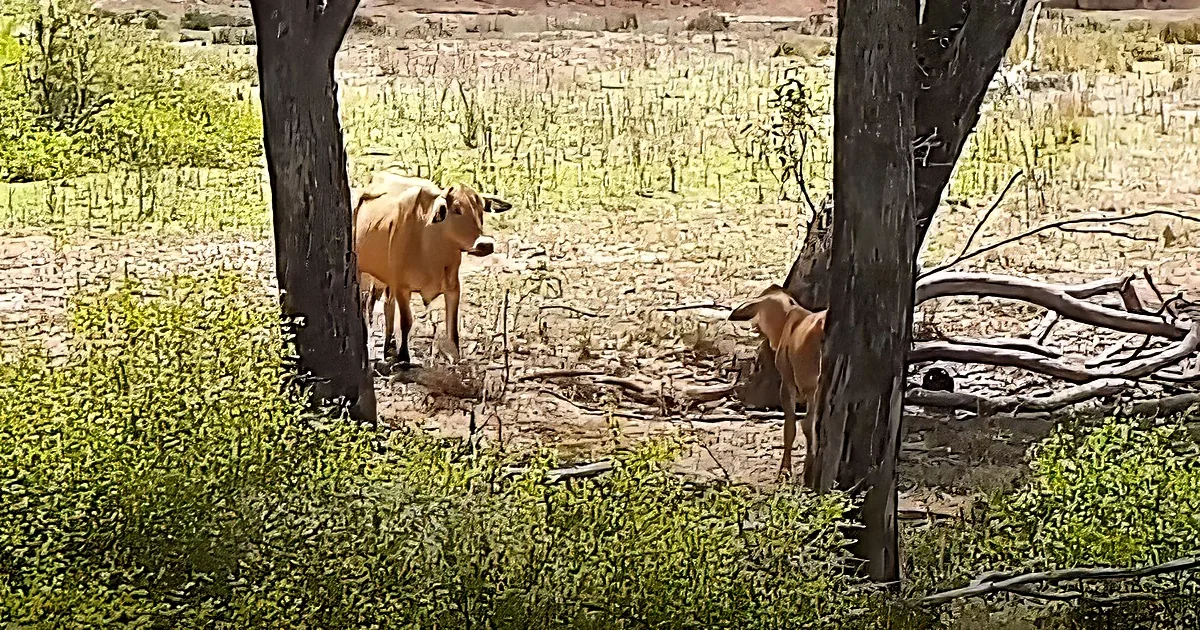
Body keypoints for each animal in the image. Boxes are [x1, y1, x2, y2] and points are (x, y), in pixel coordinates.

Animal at [352, 172, 511, 364]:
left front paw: (455, 356)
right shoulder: (402, 287)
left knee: (387, 306)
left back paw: (388, 345)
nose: (485, 244)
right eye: (456, 209)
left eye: (481, 210)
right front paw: (404, 357)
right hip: (364, 273)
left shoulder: (453, 287)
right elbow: (406, 321)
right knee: (366, 306)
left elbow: (452, 328)